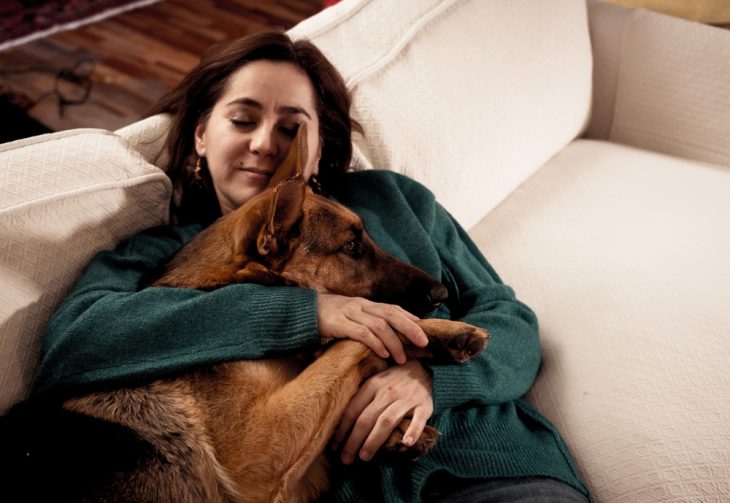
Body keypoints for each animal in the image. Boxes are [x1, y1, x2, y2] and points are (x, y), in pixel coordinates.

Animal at [2, 124, 490, 502]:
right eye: (352, 247)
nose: (441, 289)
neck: (228, 283)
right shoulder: (258, 459)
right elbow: (357, 336)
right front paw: (437, 332)